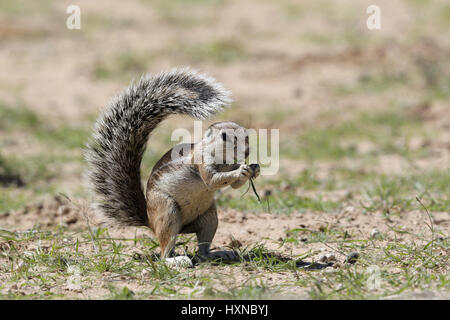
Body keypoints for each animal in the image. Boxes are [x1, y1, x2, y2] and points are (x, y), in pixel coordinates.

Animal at [85, 68, 260, 264]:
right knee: (165, 251)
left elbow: (234, 185)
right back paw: (176, 260)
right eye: (224, 136)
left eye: (246, 134)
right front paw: (242, 170)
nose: (247, 152)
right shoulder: (201, 161)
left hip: (209, 218)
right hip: (167, 212)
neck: (223, 160)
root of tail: (150, 220)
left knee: (202, 251)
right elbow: (212, 180)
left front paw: (254, 168)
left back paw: (218, 254)